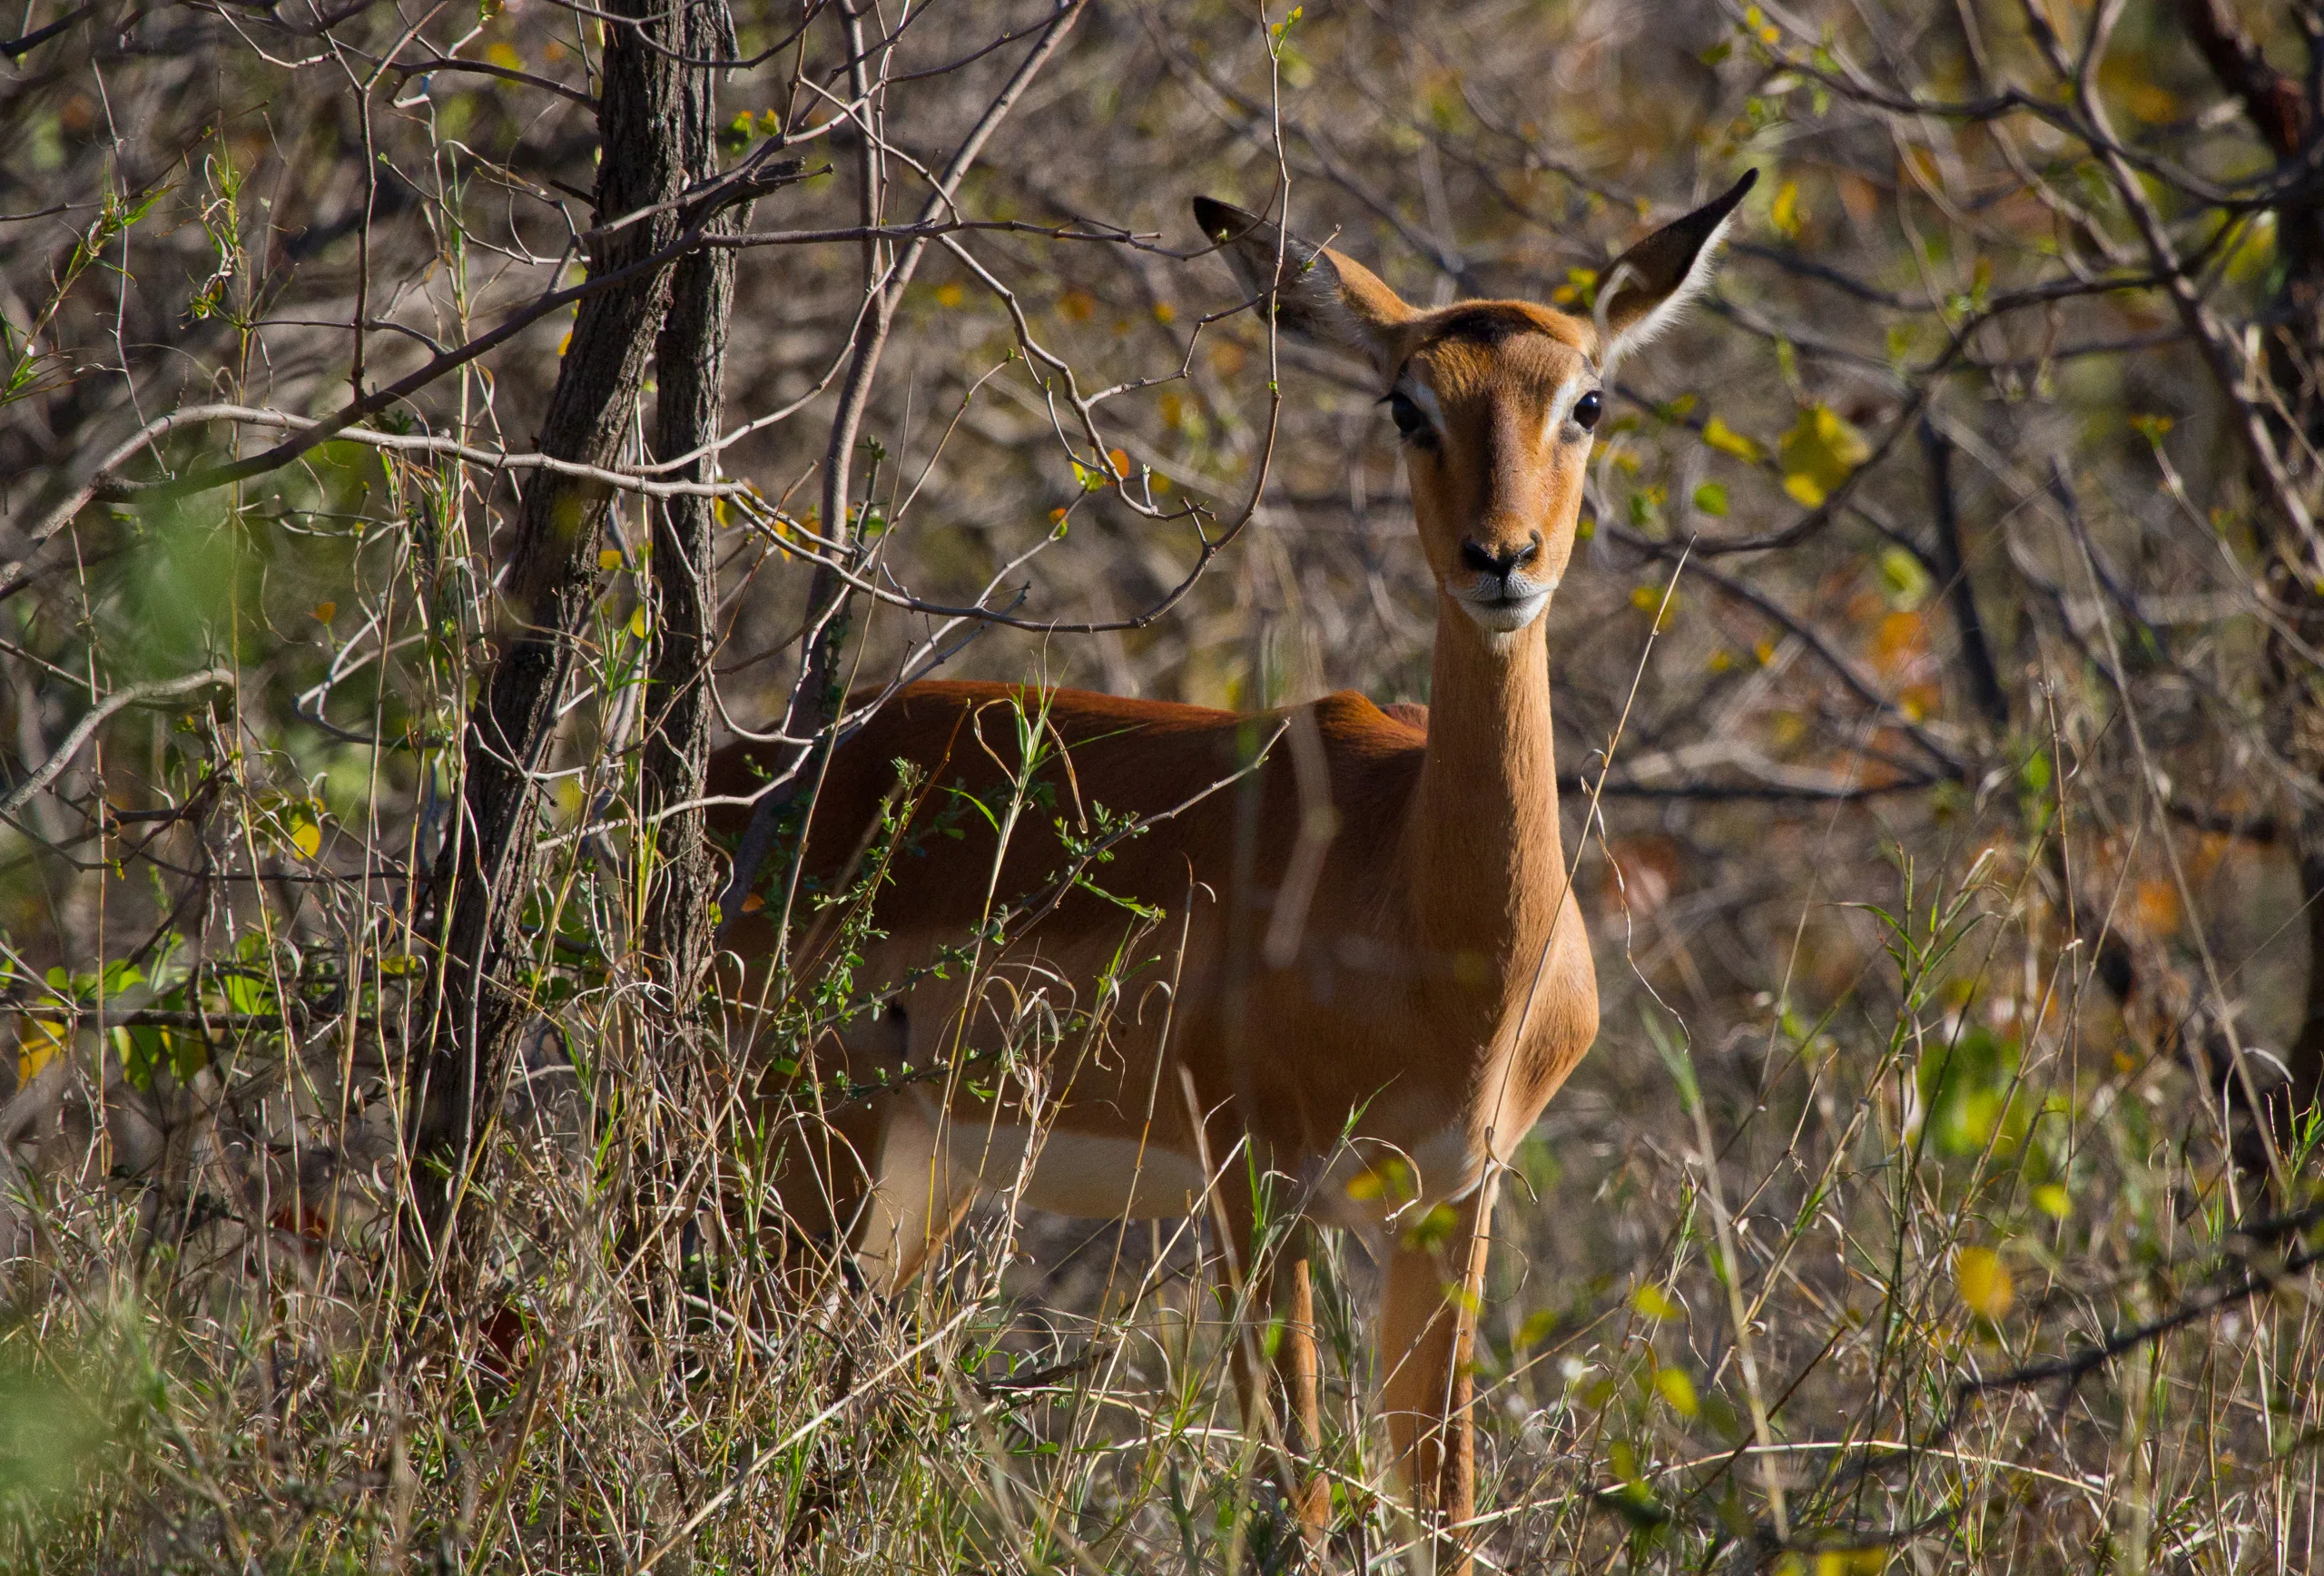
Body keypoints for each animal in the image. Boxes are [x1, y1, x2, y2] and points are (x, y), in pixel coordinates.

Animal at [710, 172, 1755, 1568]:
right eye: (1406, 403)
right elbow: (1297, 1505)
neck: (1425, 926)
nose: (1502, 557)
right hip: (797, 1152)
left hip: (914, 1183)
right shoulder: (1257, 1188)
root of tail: (738, 790)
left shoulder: (1449, 1203)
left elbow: (1445, 1503)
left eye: (1587, 400)